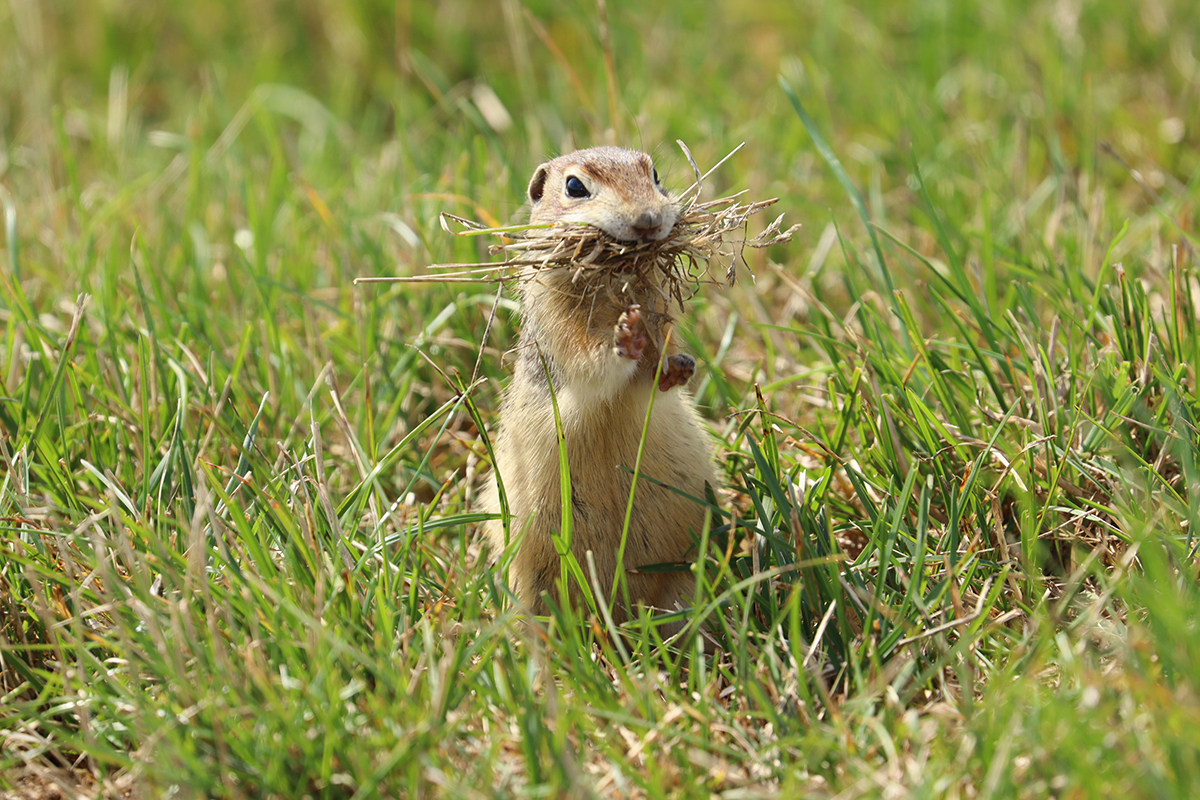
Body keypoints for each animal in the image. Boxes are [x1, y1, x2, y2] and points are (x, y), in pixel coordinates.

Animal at [482, 146, 715, 633]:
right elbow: (592, 365)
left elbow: (653, 378)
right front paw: (626, 338)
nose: (649, 220)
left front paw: (676, 366)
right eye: (574, 186)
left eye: (655, 174)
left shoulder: (659, 307)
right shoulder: (561, 332)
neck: (612, 283)